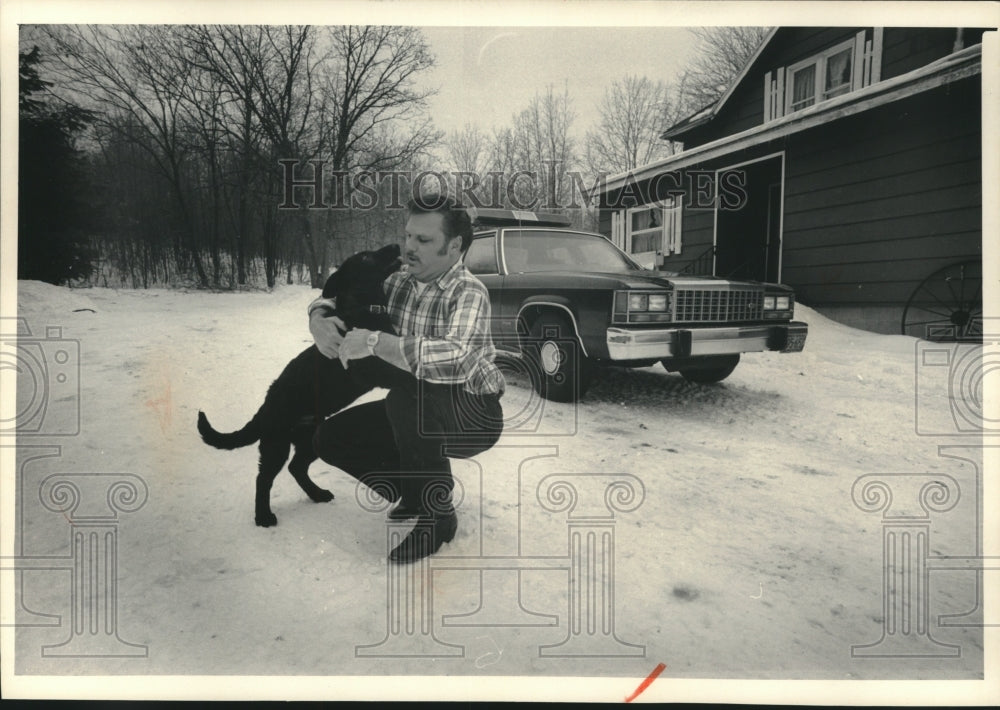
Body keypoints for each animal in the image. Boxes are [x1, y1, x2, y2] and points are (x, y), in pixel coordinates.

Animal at [197, 245, 404, 528]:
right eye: (365, 256)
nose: (396, 245)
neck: (364, 308)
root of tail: (264, 409)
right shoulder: (374, 370)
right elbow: (406, 370)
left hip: (309, 439)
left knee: (296, 468)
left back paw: (317, 494)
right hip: (276, 444)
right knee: (264, 478)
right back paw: (263, 516)